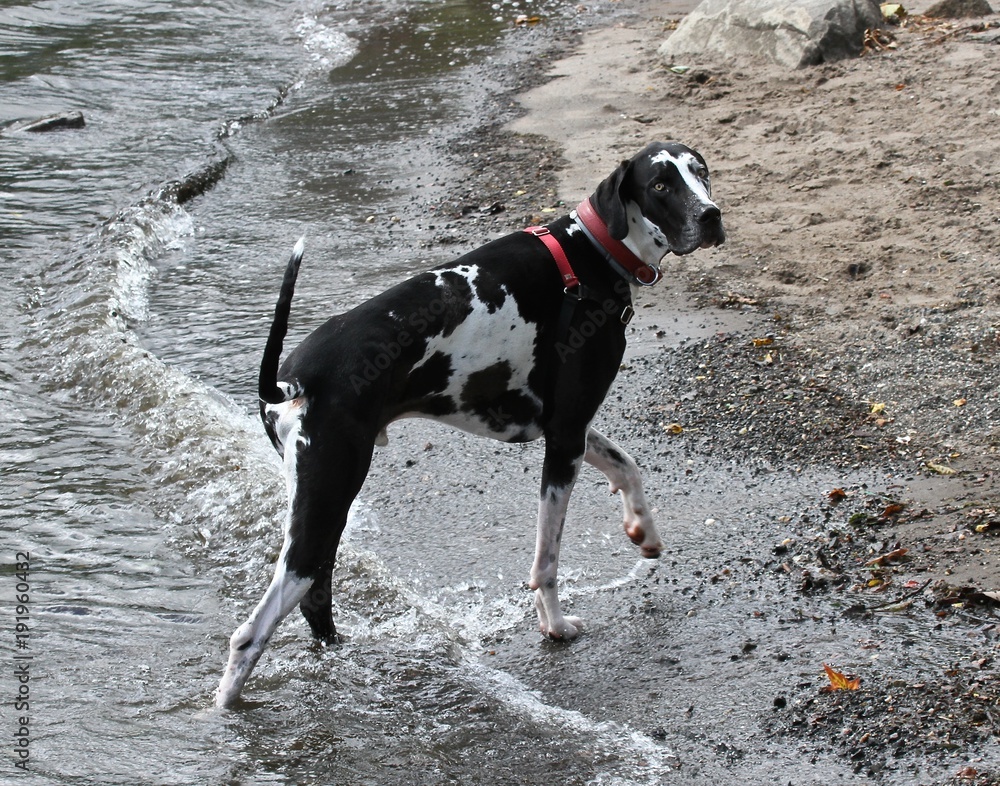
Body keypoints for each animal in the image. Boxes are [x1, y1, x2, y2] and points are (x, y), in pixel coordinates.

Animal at [215, 139, 724, 704]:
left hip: (325, 508)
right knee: (251, 633)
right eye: (660, 184)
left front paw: (643, 530)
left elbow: (627, 464)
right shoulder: (565, 437)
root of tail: (295, 379)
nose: (711, 216)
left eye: (700, 172)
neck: (590, 250)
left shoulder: (563, 428)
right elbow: (546, 559)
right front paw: (554, 625)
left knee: (314, 600)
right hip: (326, 504)